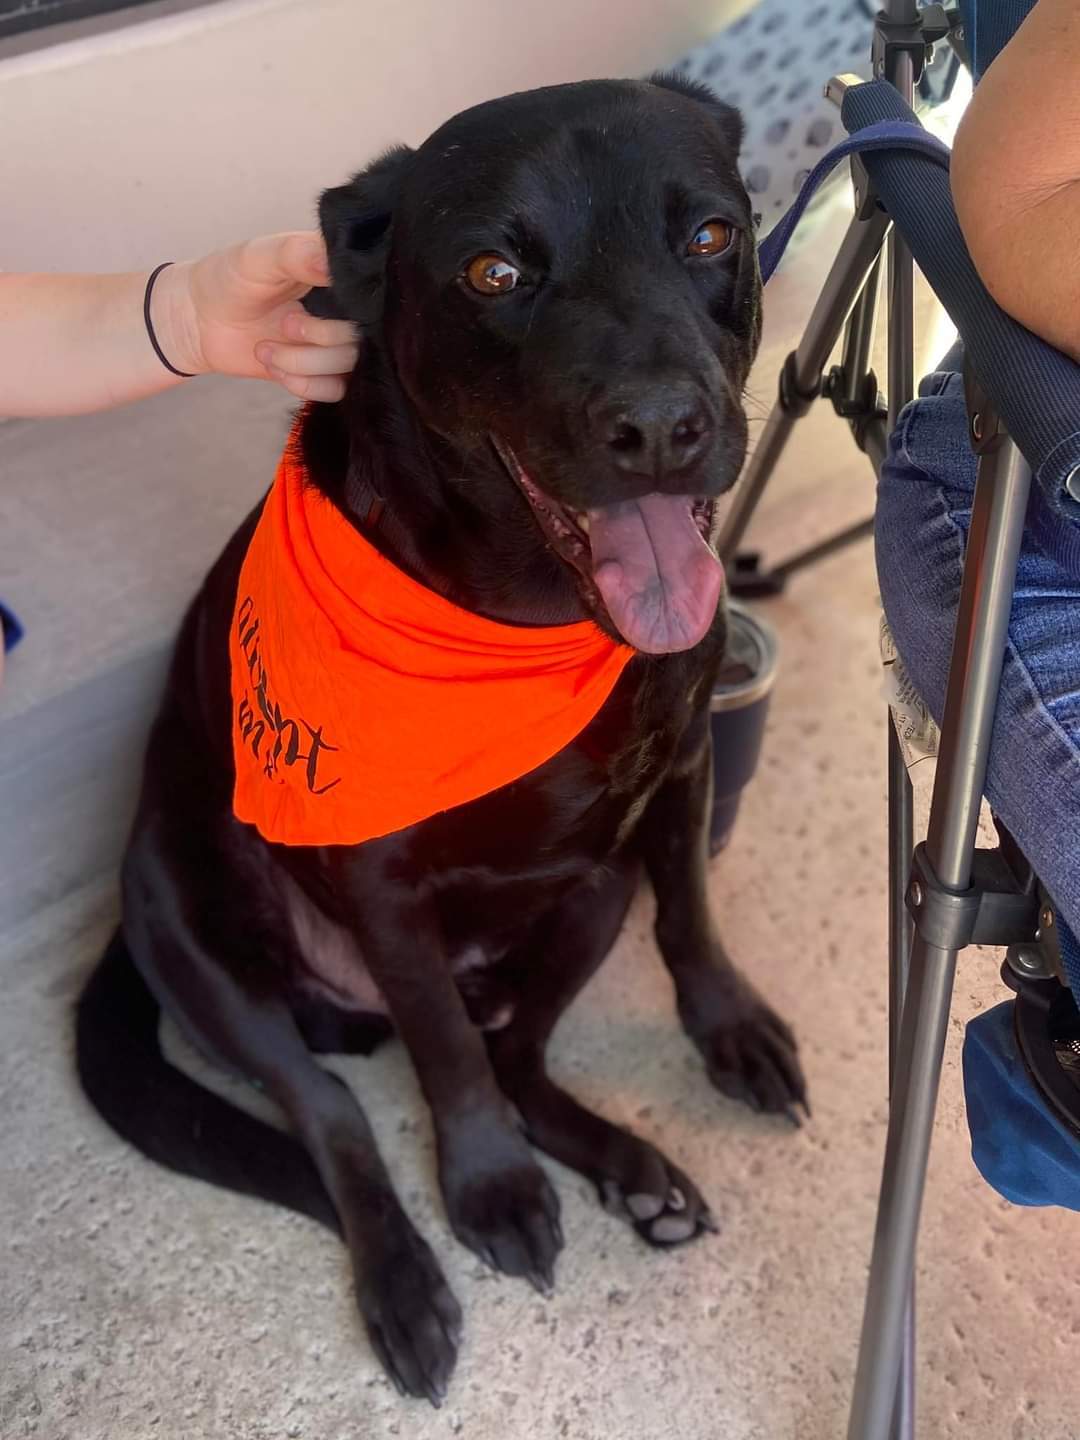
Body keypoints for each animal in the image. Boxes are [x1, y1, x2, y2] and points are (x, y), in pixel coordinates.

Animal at [76, 75, 806, 1405]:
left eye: (712, 234)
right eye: (491, 272)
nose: (663, 428)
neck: (523, 620)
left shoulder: (679, 773)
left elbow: (690, 912)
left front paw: (728, 1027)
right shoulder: (383, 887)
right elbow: (443, 1061)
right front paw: (491, 1192)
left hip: (590, 896)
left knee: (520, 1053)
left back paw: (634, 1174)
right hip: (196, 943)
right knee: (338, 1110)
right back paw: (405, 1279)